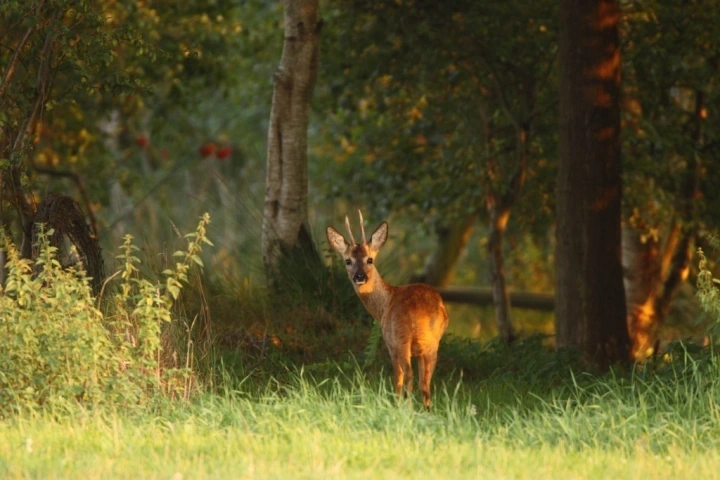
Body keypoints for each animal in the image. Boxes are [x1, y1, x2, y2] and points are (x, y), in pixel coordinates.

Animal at [328, 210, 450, 408]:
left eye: (370, 259)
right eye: (348, 261)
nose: (359, 276)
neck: (384, 305)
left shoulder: (389, 343)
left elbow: (398, 378)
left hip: (401, 338)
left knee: (408, 376)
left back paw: (405, 407)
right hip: (432, 342)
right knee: (425, 383)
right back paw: (426, 409)